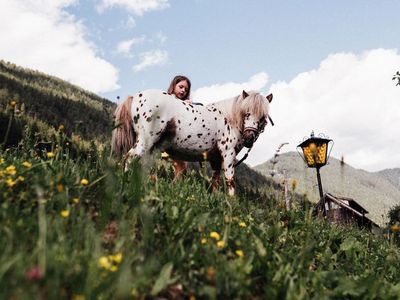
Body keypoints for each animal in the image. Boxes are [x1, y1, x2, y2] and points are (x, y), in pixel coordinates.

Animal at [112, 88, 276, 197]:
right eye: (246, 113)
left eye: (263, 117)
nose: (249, 138)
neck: (229, 118)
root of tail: (135, 96)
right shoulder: (228, 155)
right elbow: (230, 179)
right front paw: (231, 202)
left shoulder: (216, 160)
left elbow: (215, 181)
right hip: (145, 142)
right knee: (129, 158)